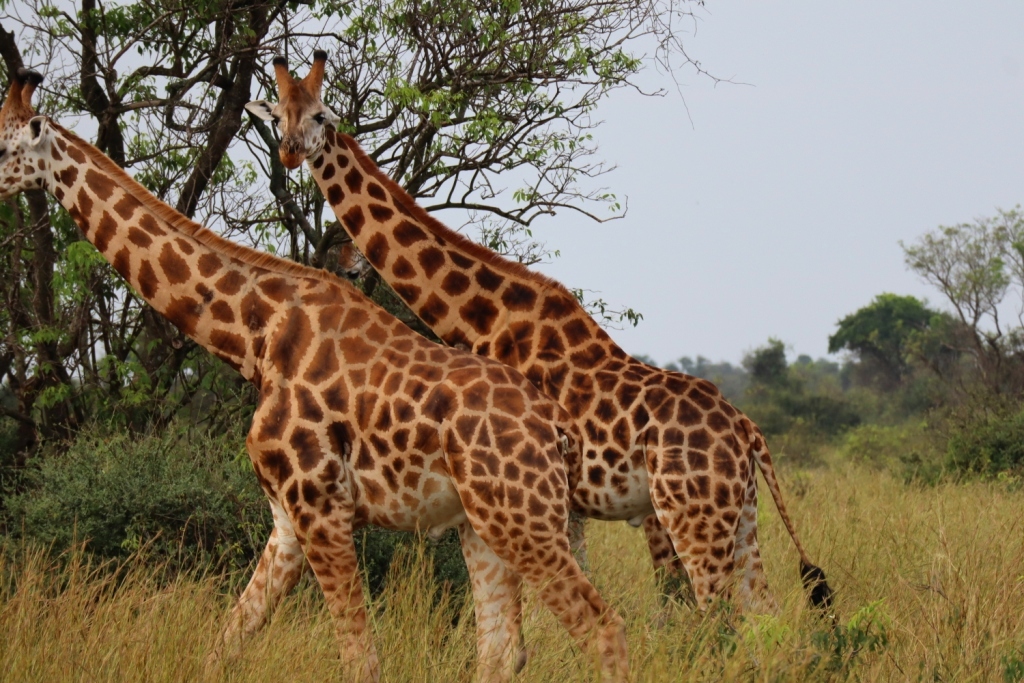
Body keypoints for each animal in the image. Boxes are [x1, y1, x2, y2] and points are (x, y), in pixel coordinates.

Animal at [0, 69, 630, 683]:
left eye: (4, 146)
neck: (254, 338)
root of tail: (557, 428)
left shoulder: (322, 507)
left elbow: (359, 659)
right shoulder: (285, 519)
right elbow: (225, 644)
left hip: (524, 518)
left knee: (602, 628)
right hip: (485, 524)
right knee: (503, 650)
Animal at [249, 53, 839, 618]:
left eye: (321, 116)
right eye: (278, 115)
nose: (290, 153)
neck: (485, 319)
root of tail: (748, 431)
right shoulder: (566, 505)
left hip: (694, 513)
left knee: (721, 616)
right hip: (739, 517)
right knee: (765, 614)